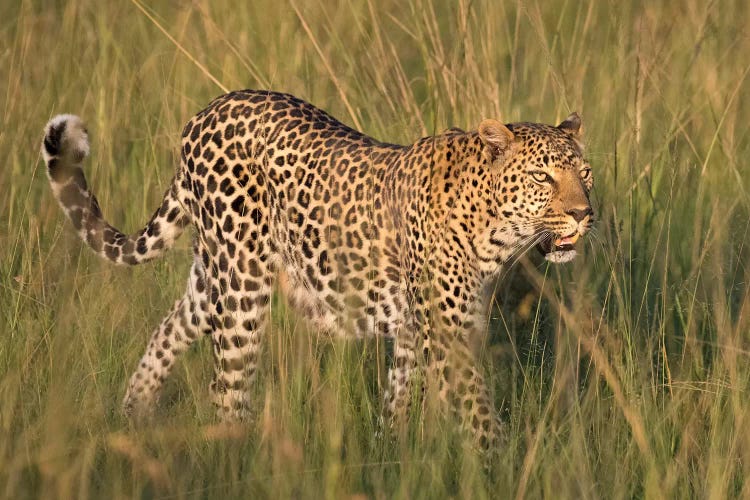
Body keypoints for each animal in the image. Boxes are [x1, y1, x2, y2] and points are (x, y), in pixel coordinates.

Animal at [39, 89, 592, 450]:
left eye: (585, 174)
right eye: (543, 177)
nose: (584, 213)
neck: (494, 230)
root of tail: (205, 112)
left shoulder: (416, 332)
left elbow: (399, 404)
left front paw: (388, 457)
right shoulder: (448, 333)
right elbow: (479, 418)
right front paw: (501, 467)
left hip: (213, 273)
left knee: (170, 328)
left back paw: (133, 415)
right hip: (241, 286)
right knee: (227, 388)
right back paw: (235, 460)